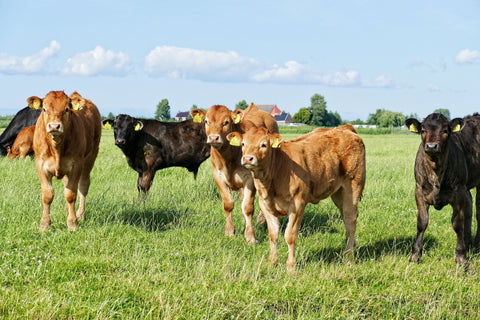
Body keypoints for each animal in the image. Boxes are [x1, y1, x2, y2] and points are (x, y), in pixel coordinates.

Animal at [28, 91, 101, 231]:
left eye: (67, 109)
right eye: (44, 109)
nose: (54, 126)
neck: (56, 147)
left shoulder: (77, 165)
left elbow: (70, 194)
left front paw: (72, 223)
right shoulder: (40, 164)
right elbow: (48, 194)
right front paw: (44, 224)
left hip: (90, 157)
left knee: (83, 186)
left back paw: (80, 214)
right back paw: (67, 211)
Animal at [191, 104, 280, 242]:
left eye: (226, 122)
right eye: (206, 121)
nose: (213, 138)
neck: (228, 158)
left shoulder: (250, 179)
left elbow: (248, 207)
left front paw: (250, 236)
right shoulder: (218, 177)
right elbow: (228, 204)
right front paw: (229, 231)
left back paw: (261, 220)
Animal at [227, 126, 366, 272]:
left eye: (263, 144)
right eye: (243, 144)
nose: (247, 158)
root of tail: (345, 128)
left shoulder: (297, 205)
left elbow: (290, 235)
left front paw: (291, 266)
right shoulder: (265, 205)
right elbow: (273, 234)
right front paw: (272, 262)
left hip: (352, 188)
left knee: (350, 220)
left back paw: (348, 257)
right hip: (338, 193)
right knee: (346, 218)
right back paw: (351, 246)